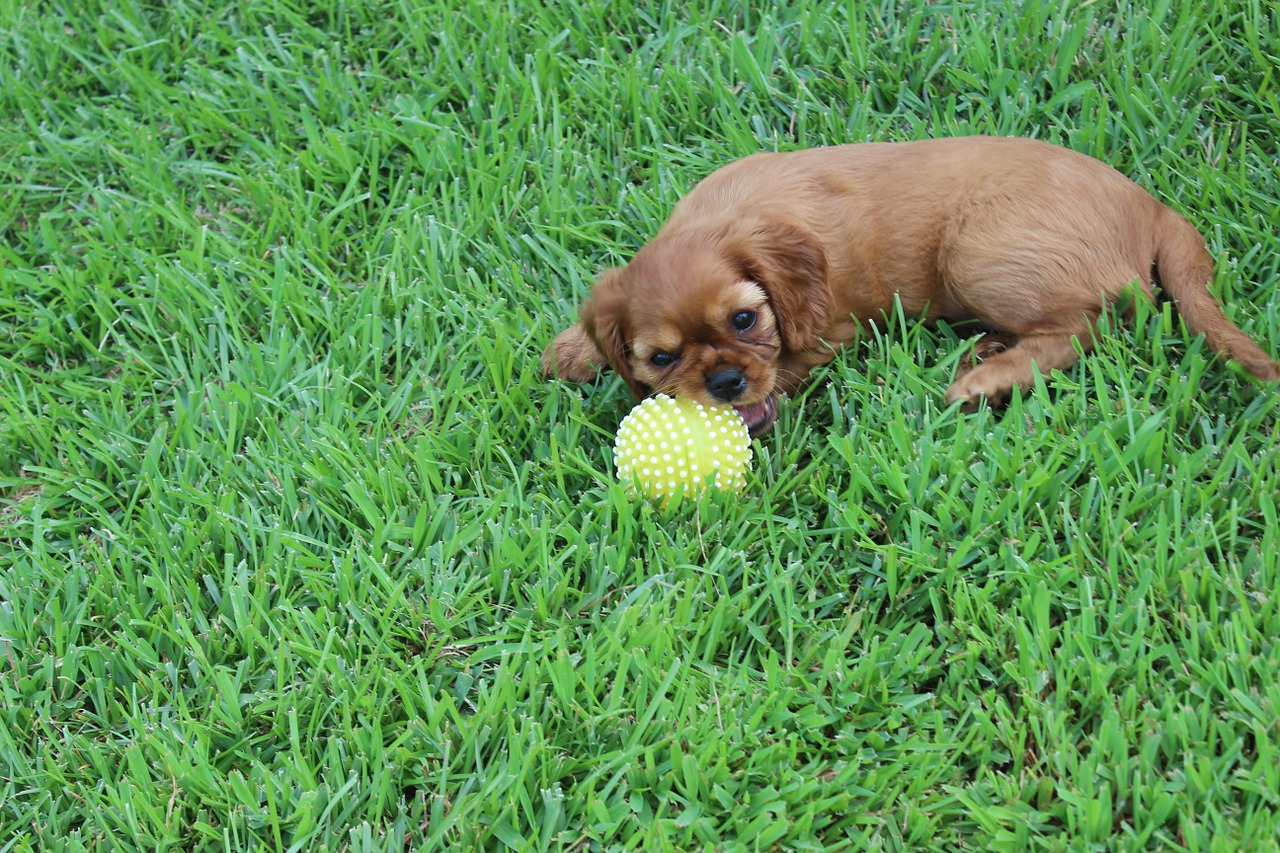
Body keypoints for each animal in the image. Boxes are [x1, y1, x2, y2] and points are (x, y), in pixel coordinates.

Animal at [542, 138, 1280, 435]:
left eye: (745, 321)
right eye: (663, 357)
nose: (725, 384)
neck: (731, 216)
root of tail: (1152, 207)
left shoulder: (830, 330)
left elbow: (792, 364)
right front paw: (570, 350)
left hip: (974, 249)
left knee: (1093, 325)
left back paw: (985, 378)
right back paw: (988, 351)